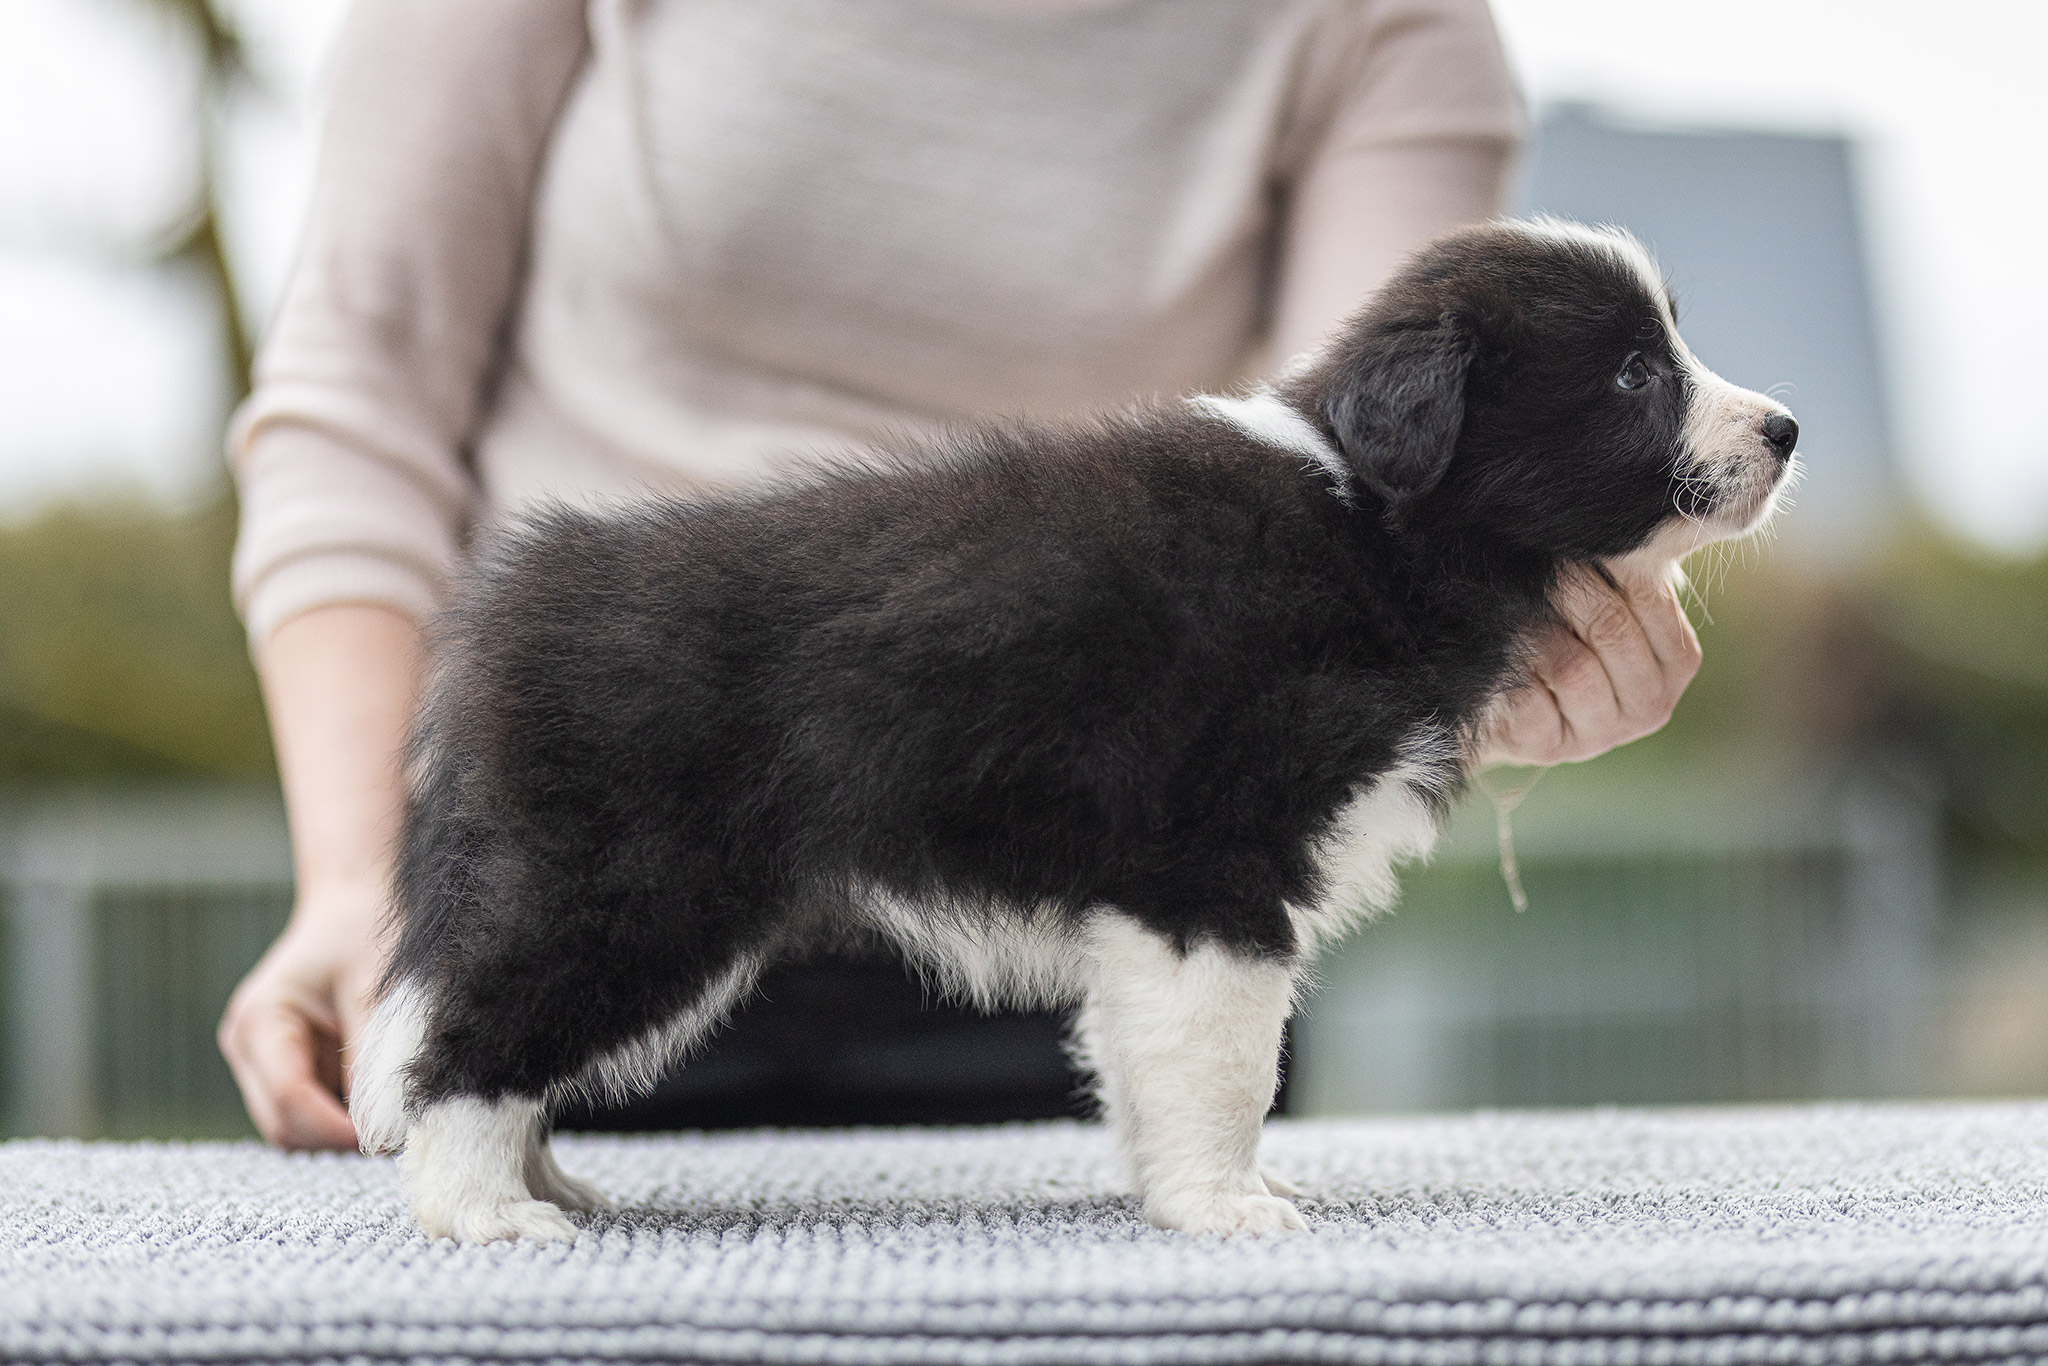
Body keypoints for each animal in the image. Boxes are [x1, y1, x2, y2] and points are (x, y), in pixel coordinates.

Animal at [348, 219, 1794, 1245]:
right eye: (1632, 372)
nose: (1785, 428)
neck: (1376, 519)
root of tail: (516, 596)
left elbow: (1148, 1056)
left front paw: (1172, 1188)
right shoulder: (1209, 863)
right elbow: (1222, 1057)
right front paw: (1226, 1204)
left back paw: (549, 1181)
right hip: (636, 884)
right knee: (465, 1038)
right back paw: (487, 1209)